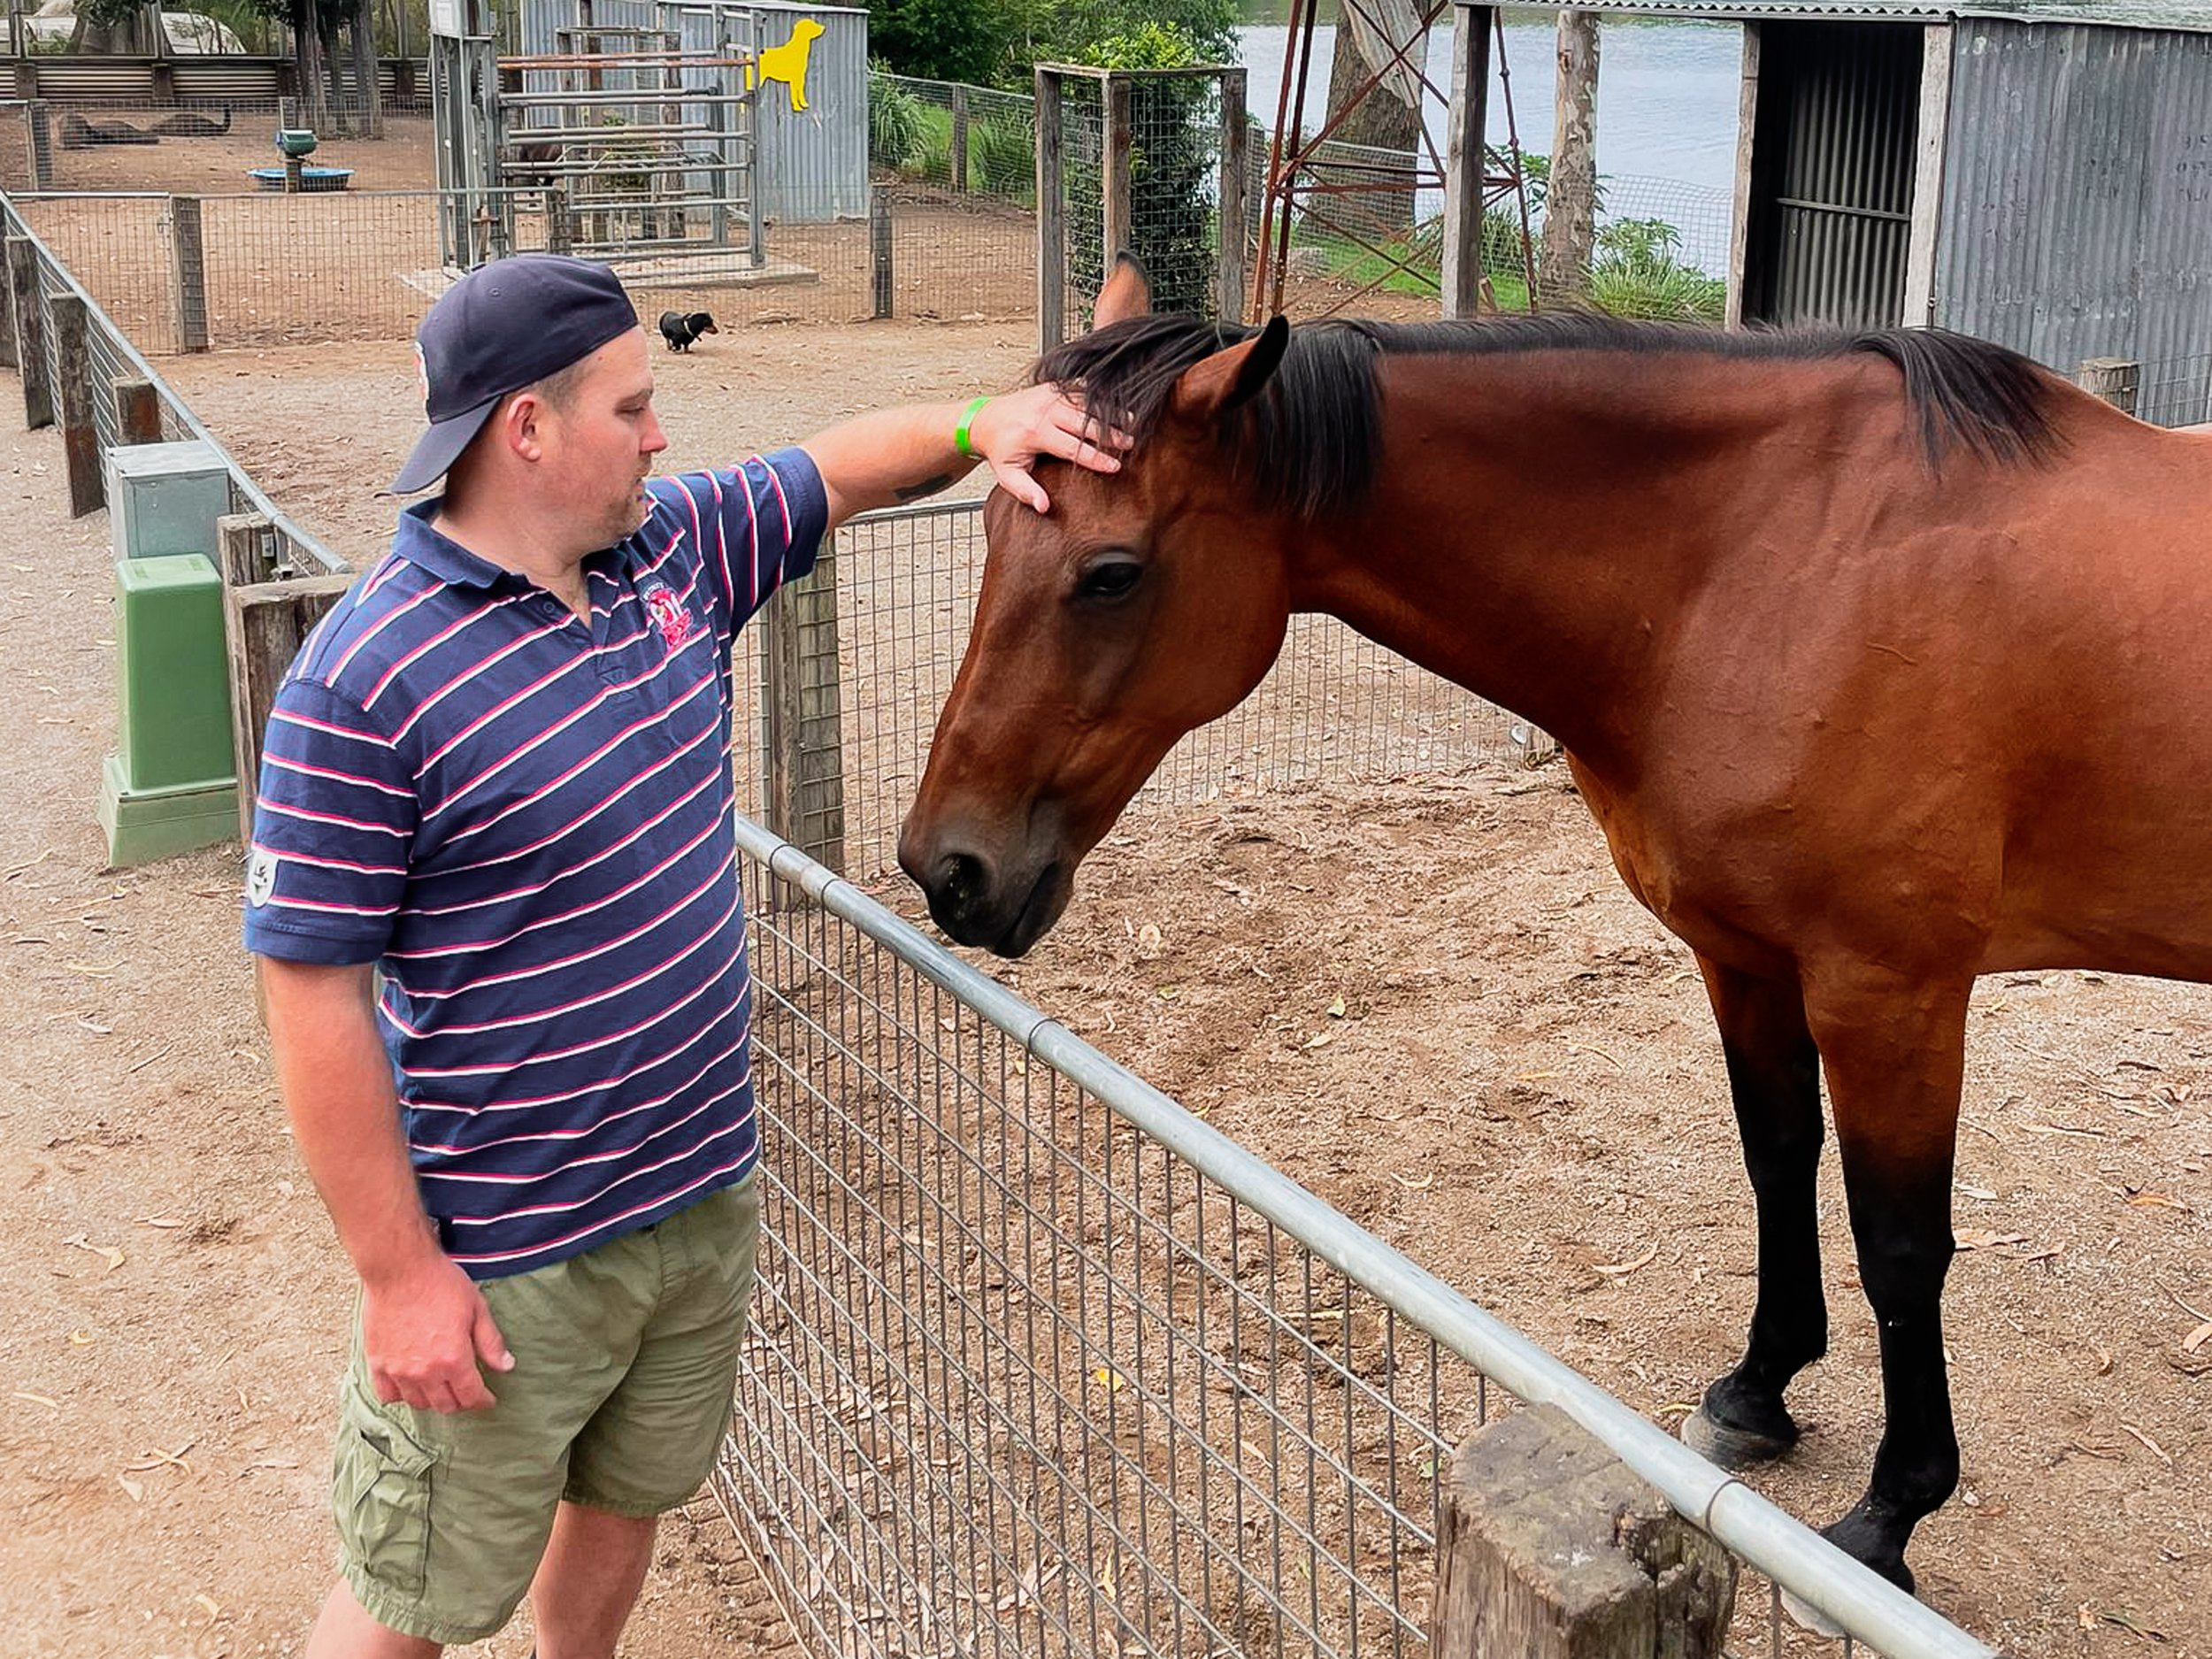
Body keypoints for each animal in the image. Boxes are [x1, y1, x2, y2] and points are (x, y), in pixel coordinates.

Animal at [897, 256, 2212, 1599]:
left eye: (1110, 572)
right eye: (991, 528)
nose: (947, 866)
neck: (1781, 562)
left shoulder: (1888, 991)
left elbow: (1899, 1243)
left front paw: (1891, 1513)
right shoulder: (1745, 958)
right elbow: (1776, 1157)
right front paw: (1760, 1390)